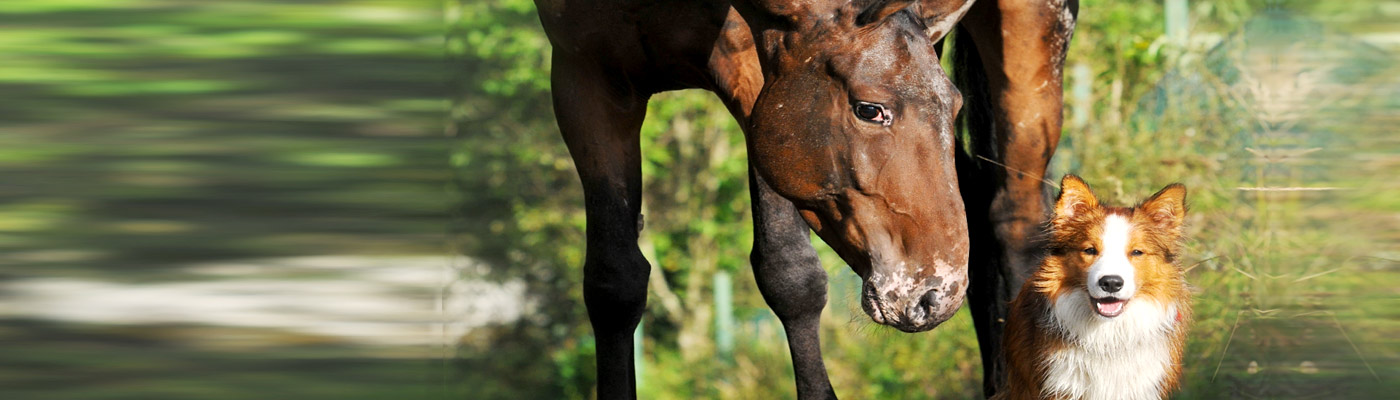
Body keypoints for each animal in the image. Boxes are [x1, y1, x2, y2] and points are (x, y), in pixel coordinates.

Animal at [533, 0, 1076, 397]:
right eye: (869, 109)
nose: (933, 296)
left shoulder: (755, 70)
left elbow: (790, 275)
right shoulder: (585, 79)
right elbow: (614, 282)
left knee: (1014, 221)